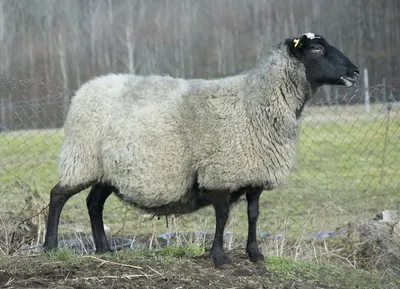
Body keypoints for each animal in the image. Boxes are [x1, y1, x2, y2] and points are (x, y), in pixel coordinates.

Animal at [43, 32, 360, 268]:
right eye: (317, 49)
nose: (355, 72)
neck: (255, 99)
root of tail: (86, 87)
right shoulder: (220, 170)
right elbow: (222, 216)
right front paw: (219, 257)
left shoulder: (254, 172)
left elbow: (253, 214)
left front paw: (255, 254)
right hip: (80, 158)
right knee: (58, 195)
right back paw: (50, 247)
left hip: (107, 170)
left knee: (94, 203)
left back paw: (105, 249)